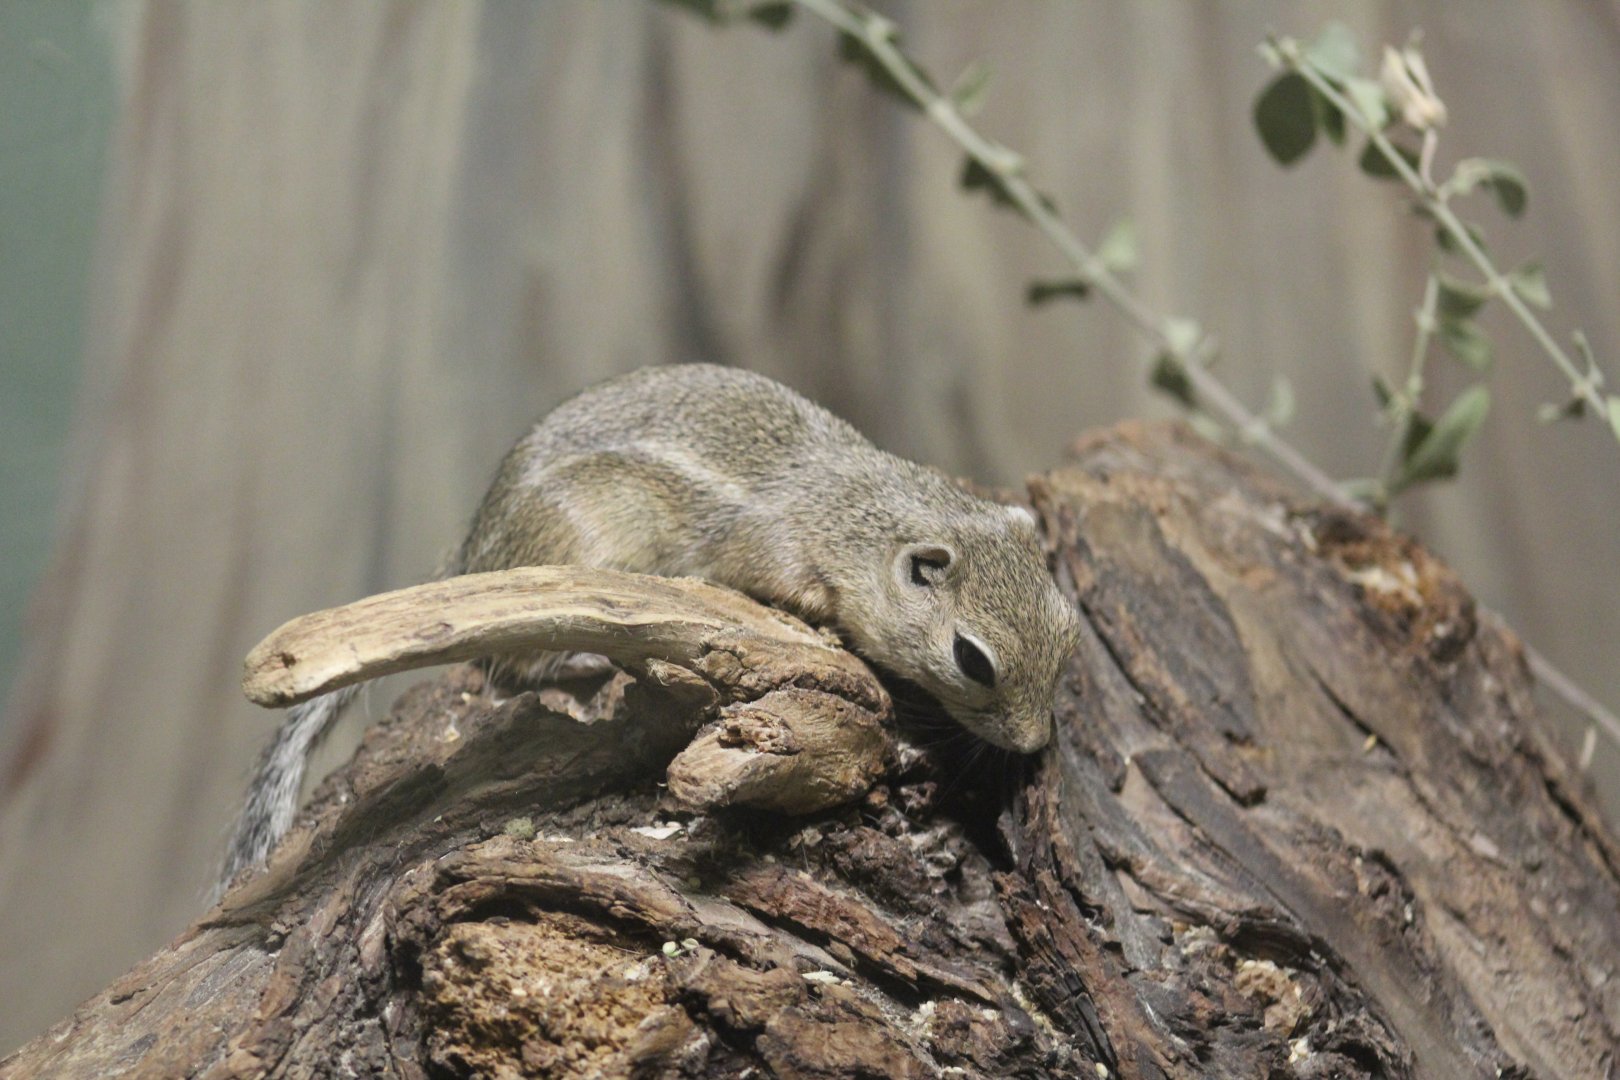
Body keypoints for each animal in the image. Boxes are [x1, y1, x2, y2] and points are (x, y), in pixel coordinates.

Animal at [219, 364, 1081, 889]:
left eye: (1069, 630)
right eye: (973, 660)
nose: (1034, 742)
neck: (858, 516)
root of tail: (474, 551)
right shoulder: (770, 552)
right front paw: (830, 636)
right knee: (507, 664)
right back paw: (578, 666)